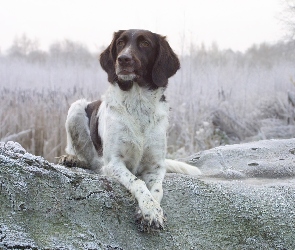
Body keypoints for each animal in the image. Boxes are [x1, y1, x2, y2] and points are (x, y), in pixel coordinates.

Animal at [60, 29, 204, 232]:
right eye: (120, 43)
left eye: (145, 44)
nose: (123, 59)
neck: (138, 103)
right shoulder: (114, 163)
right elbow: (138, 182)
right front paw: (149, 210)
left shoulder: (156, 166)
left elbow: (157, 190)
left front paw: (153, 210)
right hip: (76, 107)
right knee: (82, 155)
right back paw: (73, 159)